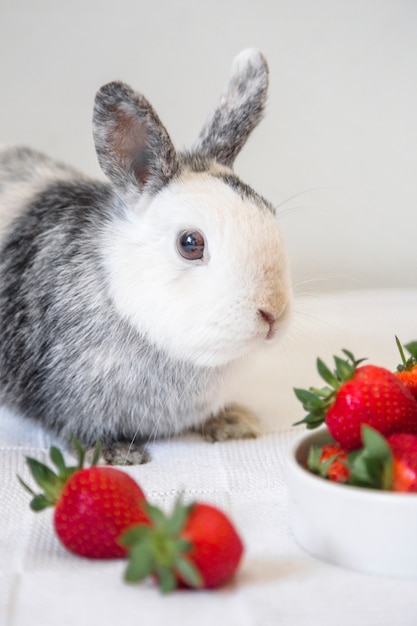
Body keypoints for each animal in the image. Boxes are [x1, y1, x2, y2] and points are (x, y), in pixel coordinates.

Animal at [0, 50, 290, 464]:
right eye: (190, 243)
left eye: (269, 210)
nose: (273, 313)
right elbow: (80, 432)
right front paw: (118, 455)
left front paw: (234, 422)